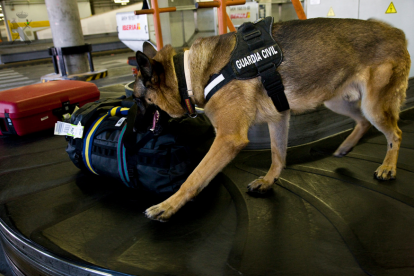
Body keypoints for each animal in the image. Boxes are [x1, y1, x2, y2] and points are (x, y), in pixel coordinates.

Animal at [133, 17, 410, 222]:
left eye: (137, 100)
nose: (133, 130)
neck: (188, 75)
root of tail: (397, 32)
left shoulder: (228, 138)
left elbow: (195, 176)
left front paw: (167, 205)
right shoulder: (279, 118)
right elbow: (278, 155)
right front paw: (269, 181)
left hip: (373, 106)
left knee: (395, 133)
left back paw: (388, 167)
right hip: (337, 101)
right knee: (362, 122)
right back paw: (345, 147)